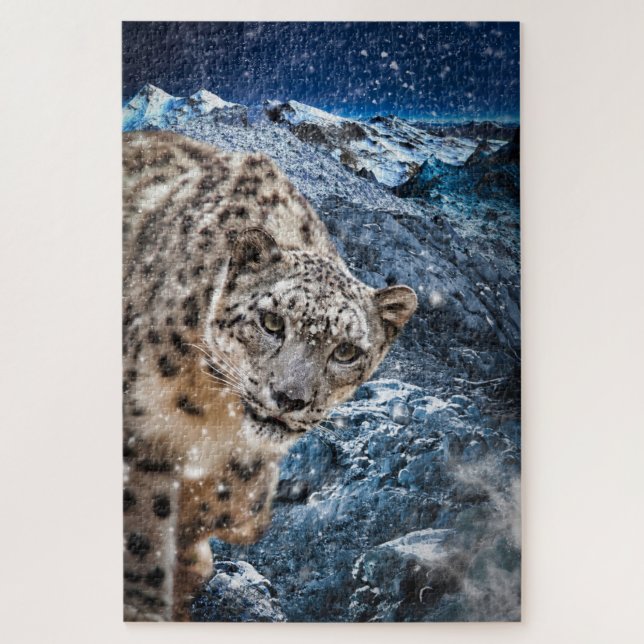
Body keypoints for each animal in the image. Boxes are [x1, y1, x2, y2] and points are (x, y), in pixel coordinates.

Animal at [122, 130, 417, 621]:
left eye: (346, 351)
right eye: (272, 322)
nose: (290, 397)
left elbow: (236, 496)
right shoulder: (140, 428)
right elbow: (142, 524)